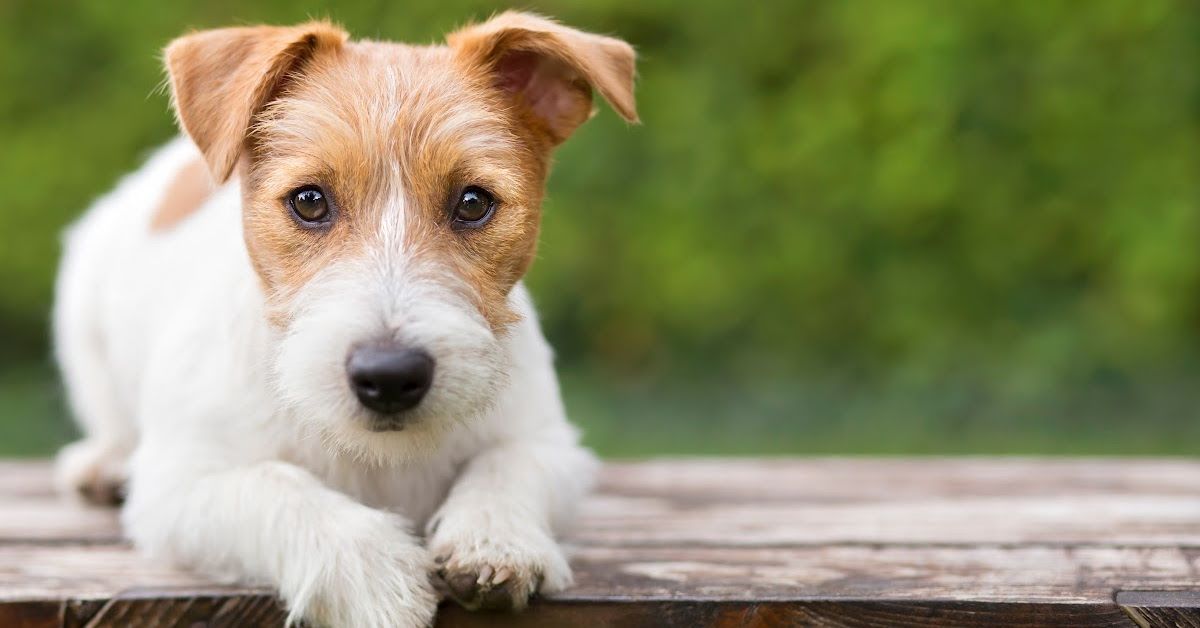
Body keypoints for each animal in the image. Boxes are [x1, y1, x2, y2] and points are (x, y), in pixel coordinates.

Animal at [50, 12, 638, 624]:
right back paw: (103, 463)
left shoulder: (552, 445)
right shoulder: (182, 486)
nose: (390, 376)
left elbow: (508, 465)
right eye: (309, 201)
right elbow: (281, 490)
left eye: (474, 202)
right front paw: (378, 576)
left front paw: (494, 538)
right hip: (81, 315)